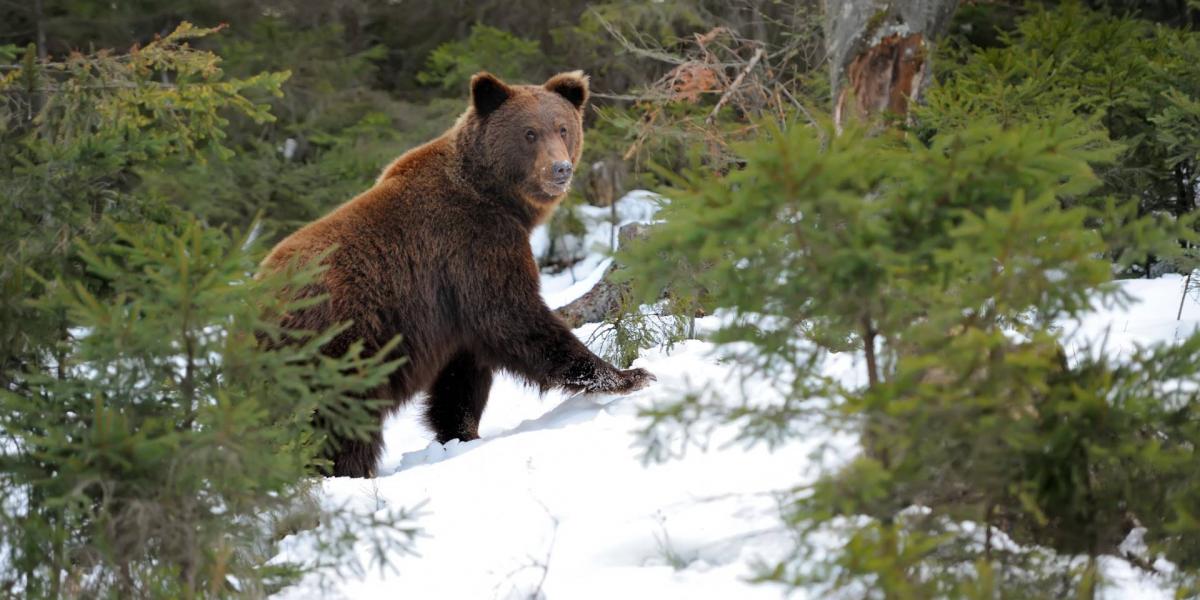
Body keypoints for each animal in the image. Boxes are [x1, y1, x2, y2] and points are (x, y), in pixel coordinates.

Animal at [261, 70, 657, 477]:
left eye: (563, 128)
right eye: (529, 133)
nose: (560, 168)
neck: (499, 197)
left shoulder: (454, 303)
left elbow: (460, 379)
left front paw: (460, 434)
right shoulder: (472, 247)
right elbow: (515, 317)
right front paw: (628, 376)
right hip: (343, 345)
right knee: (342, 420)